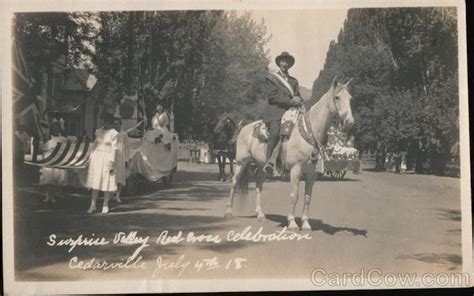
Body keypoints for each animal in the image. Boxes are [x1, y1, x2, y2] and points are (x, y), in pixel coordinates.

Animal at [224, 76, 354, 229]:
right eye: (337, 97)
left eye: (350, 98)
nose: (350, 122)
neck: (308, 132)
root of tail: (244, 127)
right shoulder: (295, 170)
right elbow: (294, 196)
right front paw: (292, 222)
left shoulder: (311, 174)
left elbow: (308, 198)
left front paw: (305, 223)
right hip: (241, 162)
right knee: (234, 182)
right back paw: (228, 212)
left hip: (261, 166)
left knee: (258, 186)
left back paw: (260, 214)